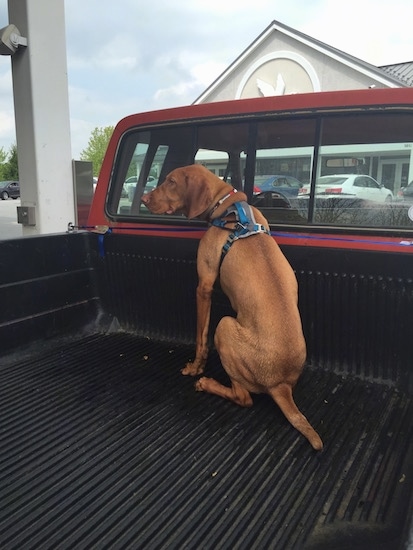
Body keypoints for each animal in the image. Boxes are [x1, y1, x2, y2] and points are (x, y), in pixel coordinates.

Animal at [142, 166, 322, 450]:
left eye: (171, 181)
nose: (144, 199)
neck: (227, 208)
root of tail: (280, 384)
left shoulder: (204, 286)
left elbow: (200, 337)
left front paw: (195, 368)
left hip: (225, 326)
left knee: (243, 398)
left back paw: (206, 383)